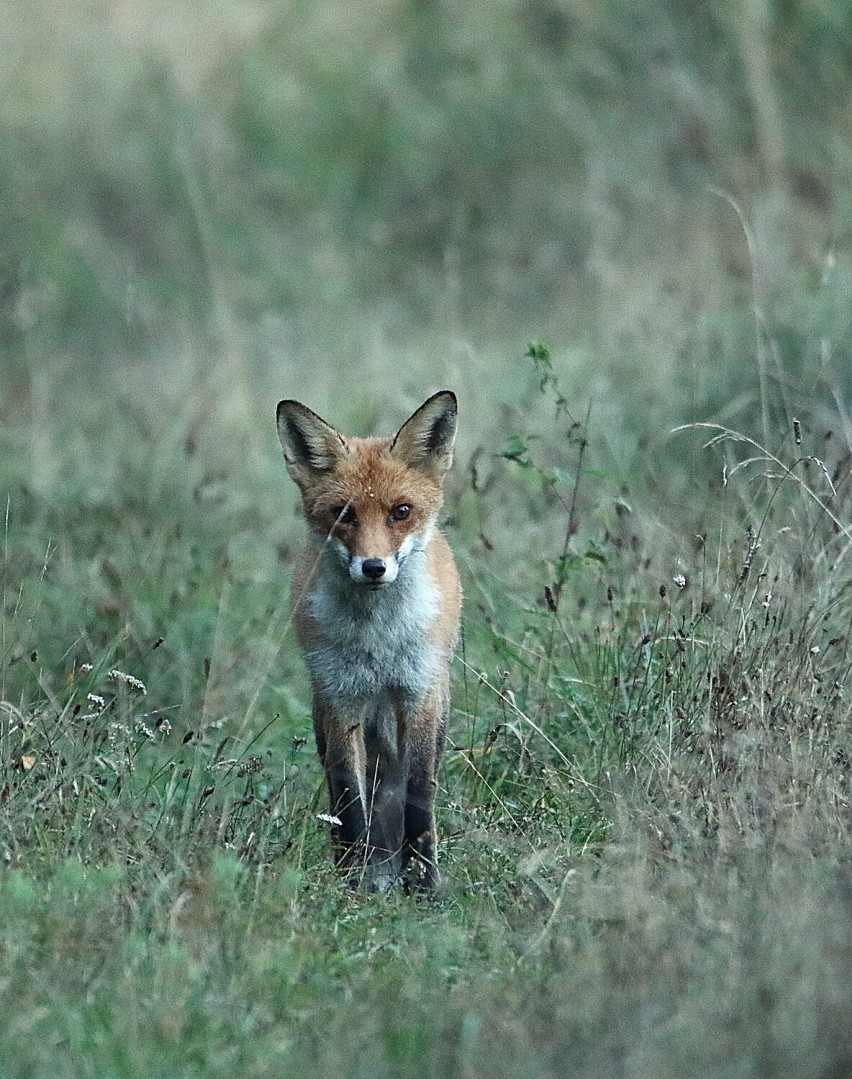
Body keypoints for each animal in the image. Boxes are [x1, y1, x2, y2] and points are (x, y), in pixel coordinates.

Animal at [275, 392, 463, 889]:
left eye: (401, 511)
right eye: (344, 514)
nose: (374, 567)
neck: (378, 639)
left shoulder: (419, 694)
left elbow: (418, 796)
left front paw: (423, 881)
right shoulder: (341, 697)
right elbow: (347, 797)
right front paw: (354, 881)